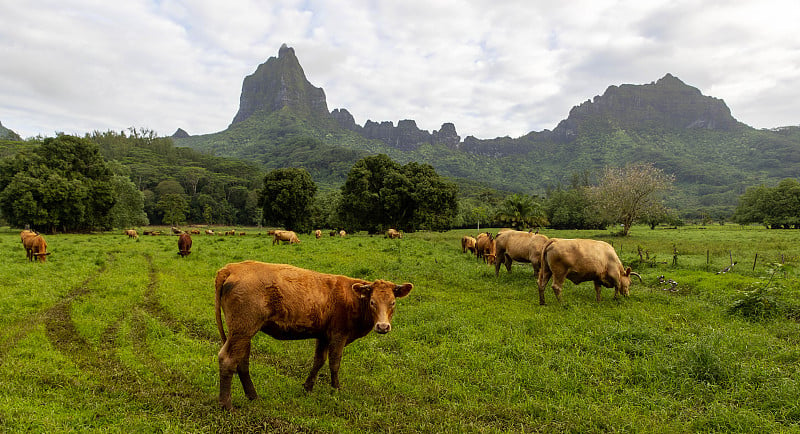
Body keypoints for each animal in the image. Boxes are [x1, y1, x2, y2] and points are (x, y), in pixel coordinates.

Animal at [212, 262, 412, 410]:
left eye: (393, 302)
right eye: (372, 302)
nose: (383, 326)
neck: (353, 298)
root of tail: (231, 268)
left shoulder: (323, 336)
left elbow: (319, 361)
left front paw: (308, 387)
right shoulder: (339, 335)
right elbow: (334, 363)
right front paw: (336, 389)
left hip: (243, 333)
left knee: (242, 362)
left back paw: (253, 396)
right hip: (242, 330)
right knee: (228, 360)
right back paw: (226, 404)